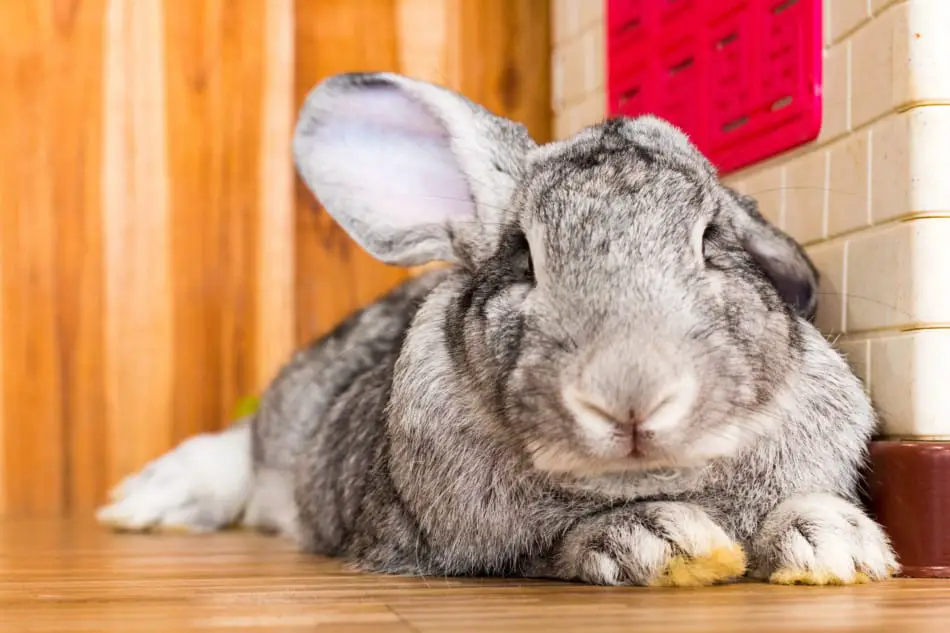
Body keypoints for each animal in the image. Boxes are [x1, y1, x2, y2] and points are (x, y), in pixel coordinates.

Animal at [96, 71, 900, 584]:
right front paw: (667, 541)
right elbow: (559, 545)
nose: (630, 395)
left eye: (711, 242)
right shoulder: (457, 547)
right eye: (525, 257)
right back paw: (141, 505)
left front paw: (838, 546)